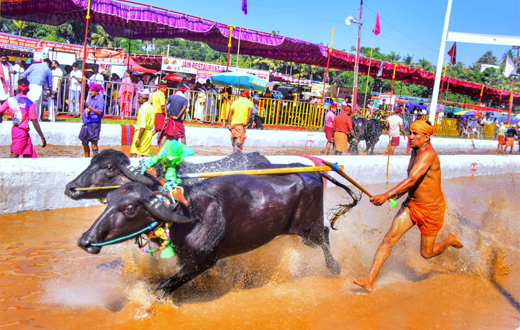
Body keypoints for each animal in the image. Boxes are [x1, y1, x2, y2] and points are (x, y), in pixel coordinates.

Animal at [78, 164, 362, 296]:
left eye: (129, 209)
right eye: (109, 200)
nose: (85, 240)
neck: (188, 214)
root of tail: (314, 174)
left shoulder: (201, 261)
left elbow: (162, 289)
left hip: (308, 230)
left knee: (324, 235)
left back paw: (335, 267)